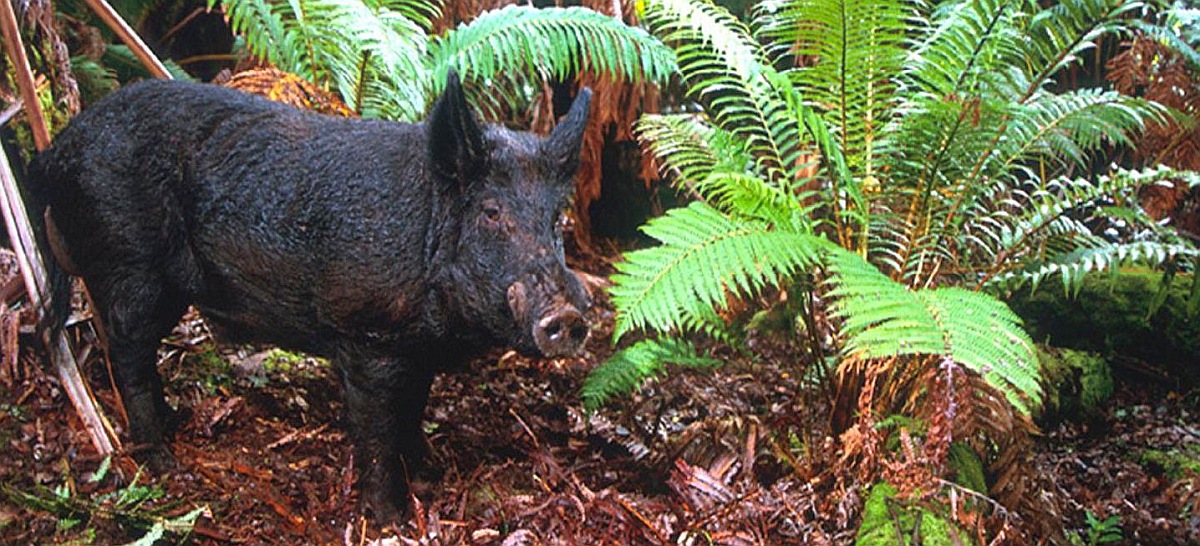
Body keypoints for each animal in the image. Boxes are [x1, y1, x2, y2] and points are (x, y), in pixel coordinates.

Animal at [29, 72, 592, 522]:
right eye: (491, 212)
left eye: (556, 219)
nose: (567, 315)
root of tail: (56, 149)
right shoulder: (367, 336)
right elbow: (377, 430)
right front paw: (390, 518)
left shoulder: (416, 349)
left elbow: (413, 409)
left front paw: (427, 475)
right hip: (129, 264)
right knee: (126, 351)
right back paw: (162, 461)